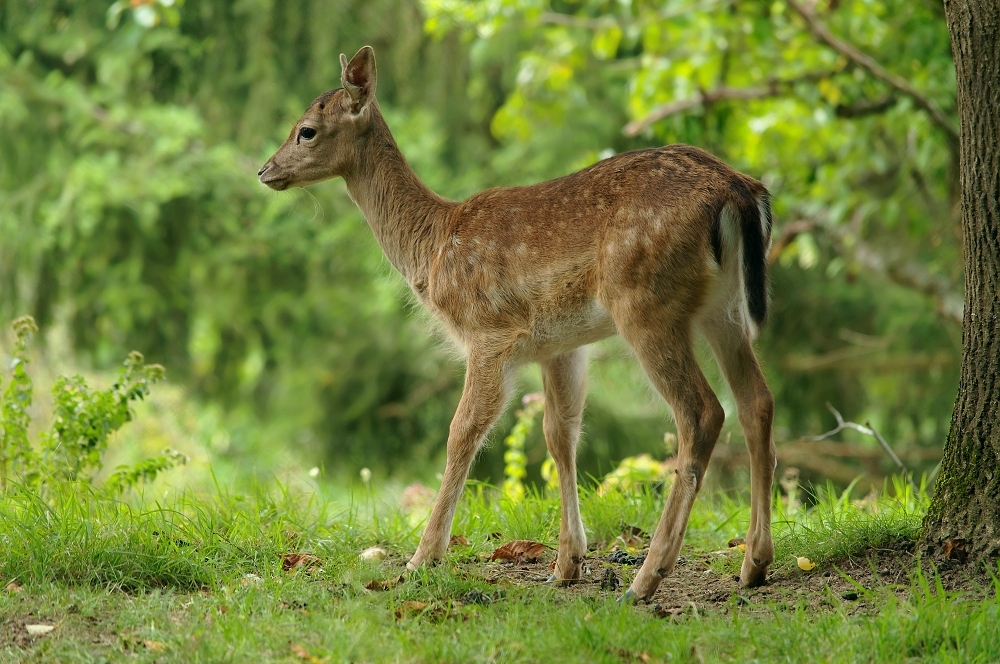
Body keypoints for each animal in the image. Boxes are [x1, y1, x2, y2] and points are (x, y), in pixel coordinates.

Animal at [258, 44, 772, 600]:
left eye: (306, 130)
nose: (265, 171)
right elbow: (559, 434)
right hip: (726, 309)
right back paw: (753, 564)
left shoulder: (488, 332)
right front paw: (567, 563)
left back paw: (647, 577)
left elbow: (461, 433)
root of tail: (737, 190)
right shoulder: (561, 344)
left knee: (701, 412)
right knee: (756, 402)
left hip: (645, 303)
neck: (432, 249)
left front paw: (422, 558)